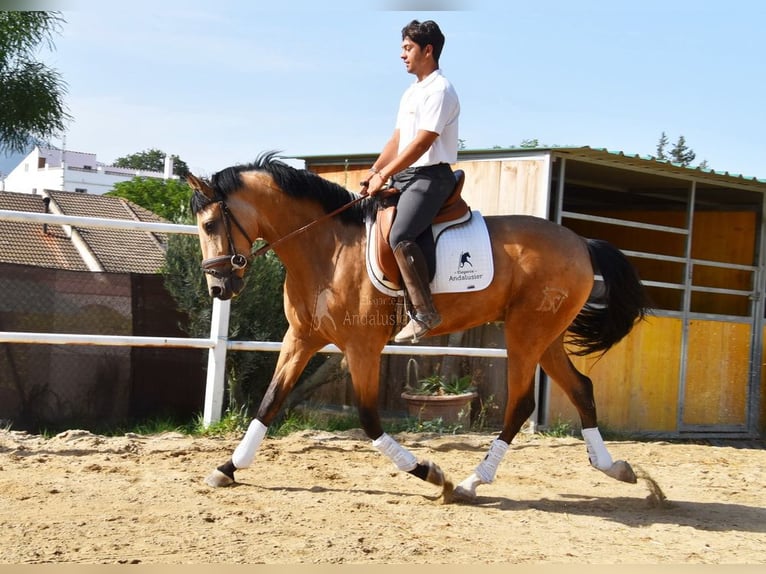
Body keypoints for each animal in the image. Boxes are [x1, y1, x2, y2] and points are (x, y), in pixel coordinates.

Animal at [186, 153, 648, 504]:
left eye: (210, 225)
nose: (219, 288)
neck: (328, 249)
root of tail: (580, 244)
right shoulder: (300, 338)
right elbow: (269, 402)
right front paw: (227, 468)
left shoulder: (362, 348)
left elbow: (369, 419)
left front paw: (430, 473)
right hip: (545, 336)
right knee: (581, 388)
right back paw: (616, 468)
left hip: (526, 334)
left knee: (520, 404)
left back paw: (470, 482)